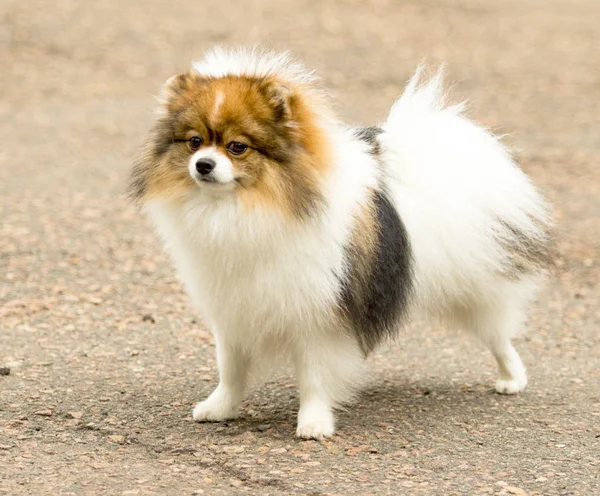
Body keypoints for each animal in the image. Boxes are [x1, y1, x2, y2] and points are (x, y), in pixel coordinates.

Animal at [130, 48, 552, 440]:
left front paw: (314, 423)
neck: (247, 209)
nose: (203, 164)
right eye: (194, 142)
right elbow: (231, 368)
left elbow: (314, 376)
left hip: (478, 287)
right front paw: (220, 407)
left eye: (237, 147)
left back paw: (512, 378)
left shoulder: (320, 313)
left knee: (499, 335)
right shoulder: (234, 307)